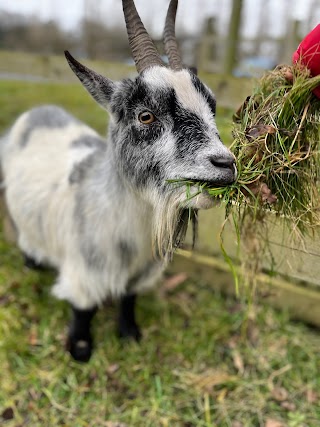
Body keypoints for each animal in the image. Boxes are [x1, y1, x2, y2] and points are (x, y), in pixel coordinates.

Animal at [0, 0, 235, 362]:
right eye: (146, 115)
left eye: (212, 107)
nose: (226, 164)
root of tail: (37, 111)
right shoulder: (84, 270)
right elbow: (83, 308)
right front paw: (81, 347)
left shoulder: (138, 274)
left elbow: (128, 299)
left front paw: (129, 334)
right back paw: (32, 263)